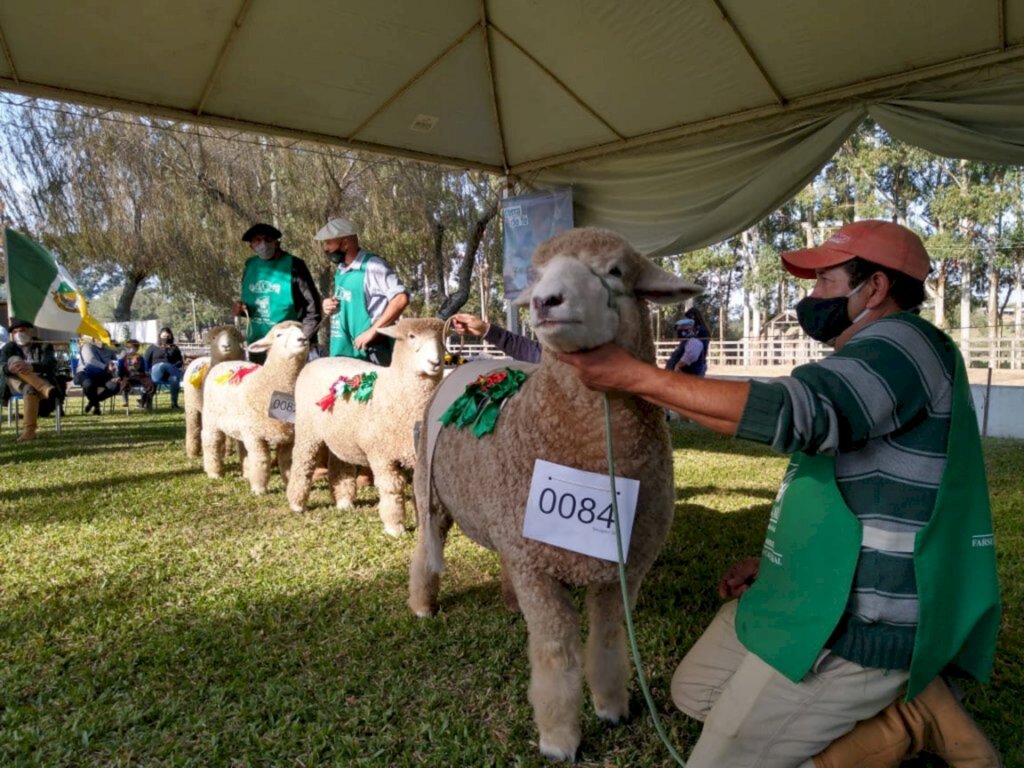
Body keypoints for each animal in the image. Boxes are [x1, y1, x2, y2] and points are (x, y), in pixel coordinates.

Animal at [183, 323, 244, 456]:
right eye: (214, 338)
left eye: (234, 336)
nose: (226, 346)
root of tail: (197, 359)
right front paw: (223, 451)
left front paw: (228, 451)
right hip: (191, 405)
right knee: (193, 426)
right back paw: (192, 452)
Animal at [200, 321, 307, 495]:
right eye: (279, 335)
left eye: (302, 330)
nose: (302, 339)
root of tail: (224, 362)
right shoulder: (255, 435)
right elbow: (261, 459)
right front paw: (259, 488)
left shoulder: (289, 437)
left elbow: (287, 462)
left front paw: (289, 484)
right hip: (210, 418)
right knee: (211, 441)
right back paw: (214, 472)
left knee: (241, 446)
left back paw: (245, 473)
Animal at [288, 317, 448, 536]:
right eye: (411, 336)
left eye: (442, 338)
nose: (435, 363)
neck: (396, 391)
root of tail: (315, 361)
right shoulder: (380, 454)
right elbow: (392, 488)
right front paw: (394, 526)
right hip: (307, 429)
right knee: (302, 462)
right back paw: (296, 504)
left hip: (341, 433)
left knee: (340, 464)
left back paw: (344, 501)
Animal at [407, 227, 704, 765]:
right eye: (538, 274)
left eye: (615, 271)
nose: (545, 302)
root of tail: (464, 367)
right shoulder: (537, 568)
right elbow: (555, 650)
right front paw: (559, 739)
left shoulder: (620, 568)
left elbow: (607, 640)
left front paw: (612, 708)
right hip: (431, 492)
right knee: (425, 547)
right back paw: (421, 604)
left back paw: (507, 603)